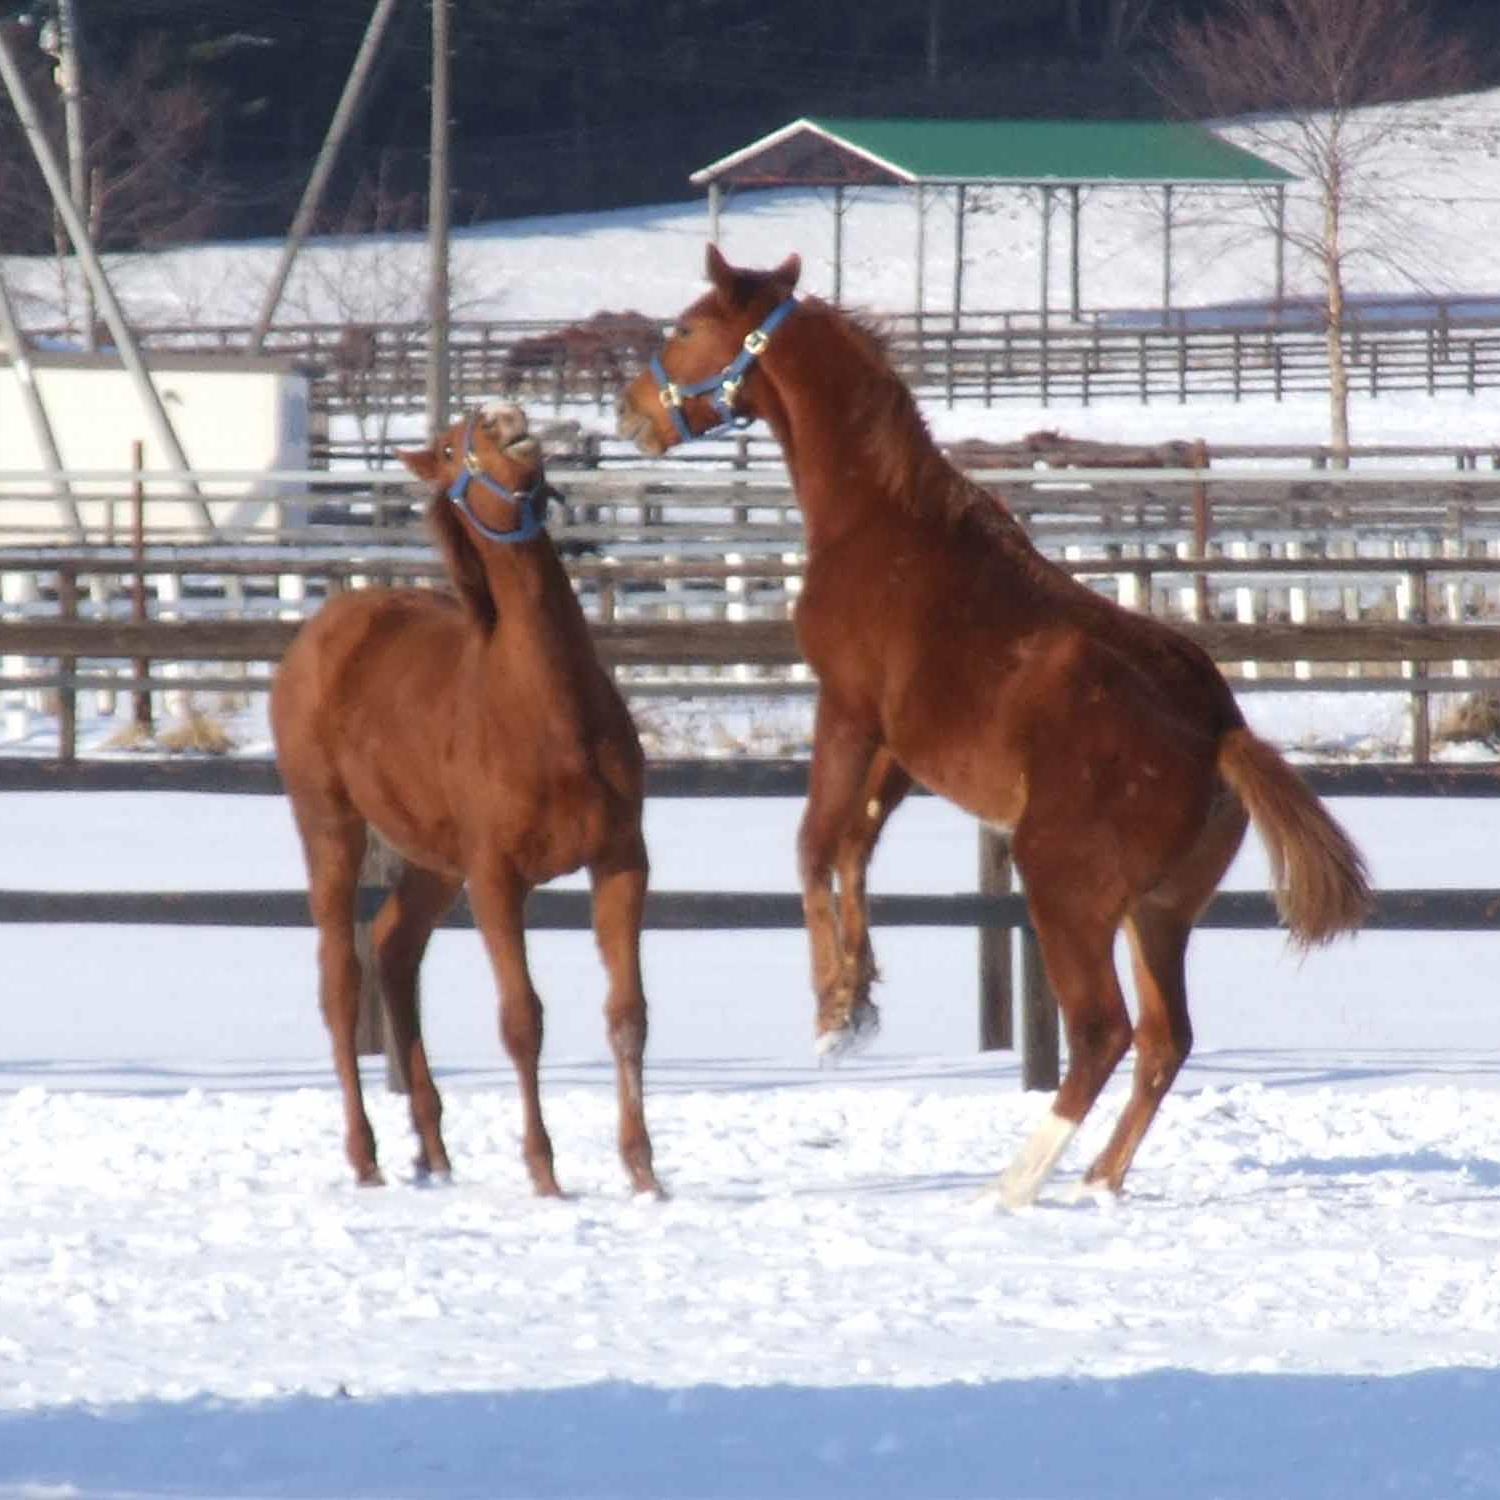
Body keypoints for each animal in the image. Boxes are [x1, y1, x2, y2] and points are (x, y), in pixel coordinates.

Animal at [273, 399, 660, 1194]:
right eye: (454, 447)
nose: (506, 416)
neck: (544, 711)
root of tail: (320, 633)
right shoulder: (495, 879)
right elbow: (522, 1020)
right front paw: (544, 1172)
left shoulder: (621, 861)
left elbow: (628, 1013)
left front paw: (645, 1172)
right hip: (331, 831)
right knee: (342, 980)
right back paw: (366, 1157)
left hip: (432, 863)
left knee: (394, 948)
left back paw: (434, 1150)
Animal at [612, 249, 1374, 1206]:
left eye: (683, 327)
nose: (628, 410)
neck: (882, 522)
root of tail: (1220, 736)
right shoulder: (901, 751)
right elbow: (856, 851)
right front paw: (862, 996)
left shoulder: (847, 710)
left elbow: (815, 845)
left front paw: (832, 1014)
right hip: (1158, 914)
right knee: (1165, 1041)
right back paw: (1094, 1183)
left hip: (1066, 898)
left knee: (1102, 1034)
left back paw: (1010, 1188)